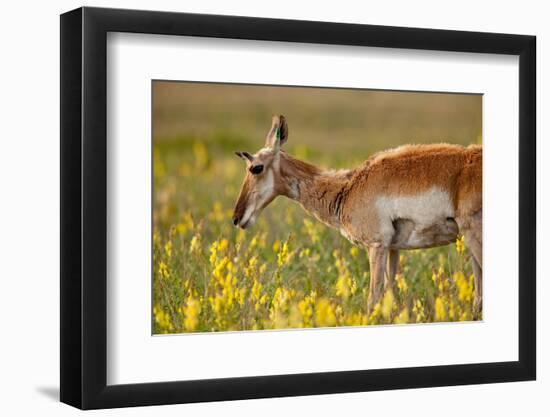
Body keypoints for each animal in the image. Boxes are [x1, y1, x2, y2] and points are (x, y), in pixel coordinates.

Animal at [233, 114, 484, 312]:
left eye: (256, 167)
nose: (236, 218)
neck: (348, 187)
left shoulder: (376, 246)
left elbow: (373, 299)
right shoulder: (392, 249)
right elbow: (390, 297)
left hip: (473, 237)